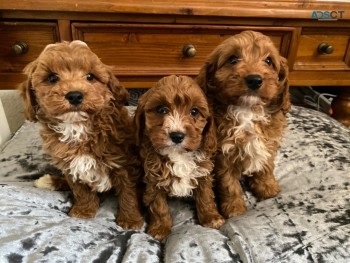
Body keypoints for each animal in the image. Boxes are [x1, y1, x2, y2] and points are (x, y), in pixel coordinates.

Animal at [18, 40, 144, 230]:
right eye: (52, 78)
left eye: (90, 77)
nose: (75, 95)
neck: (77, 127)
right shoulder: (70, 164)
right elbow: (80, 190)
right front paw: (84, 211)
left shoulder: (123, 162)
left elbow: (127, 192)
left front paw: (130, 220)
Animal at [134, 75, 224, 241]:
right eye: (161, 110)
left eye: (194, 112)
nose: (177, 135)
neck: (179, 154)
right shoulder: (153, 179)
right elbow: (158, 205)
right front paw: (160, 228)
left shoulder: (203, 172)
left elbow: (206, 196)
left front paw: (211, 218)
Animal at [197, 31, 290, 220]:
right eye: (233, 59)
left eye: (268, 61)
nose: (254, 80)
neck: (247, 110)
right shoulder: (223, 154)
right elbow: (228, 183)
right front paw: (234, 208)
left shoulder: (268, 142)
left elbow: (266, 165)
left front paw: (267, 187)